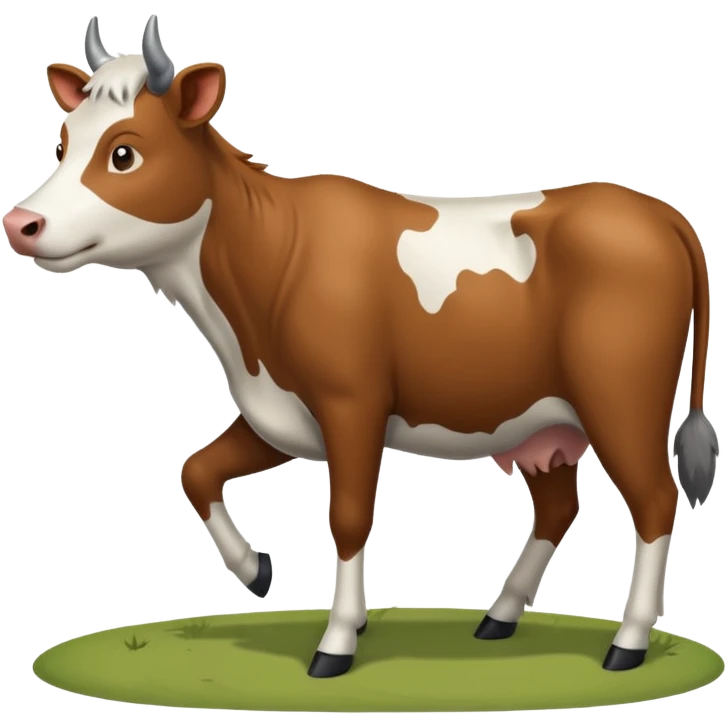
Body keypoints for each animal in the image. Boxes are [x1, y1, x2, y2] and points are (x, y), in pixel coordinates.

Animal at [2, 15, 718, 680]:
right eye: (63, 142)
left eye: (124, 153)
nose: (20, 222)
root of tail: (658, 213)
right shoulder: (280, 408)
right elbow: (196, 470)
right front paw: (254, 569)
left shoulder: (352, 404)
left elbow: (346, 517)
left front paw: (338, 641)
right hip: (543, 422)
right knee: (558, 506)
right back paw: (500, 615)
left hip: (621, 398)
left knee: (655, 502)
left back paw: (627, 643)